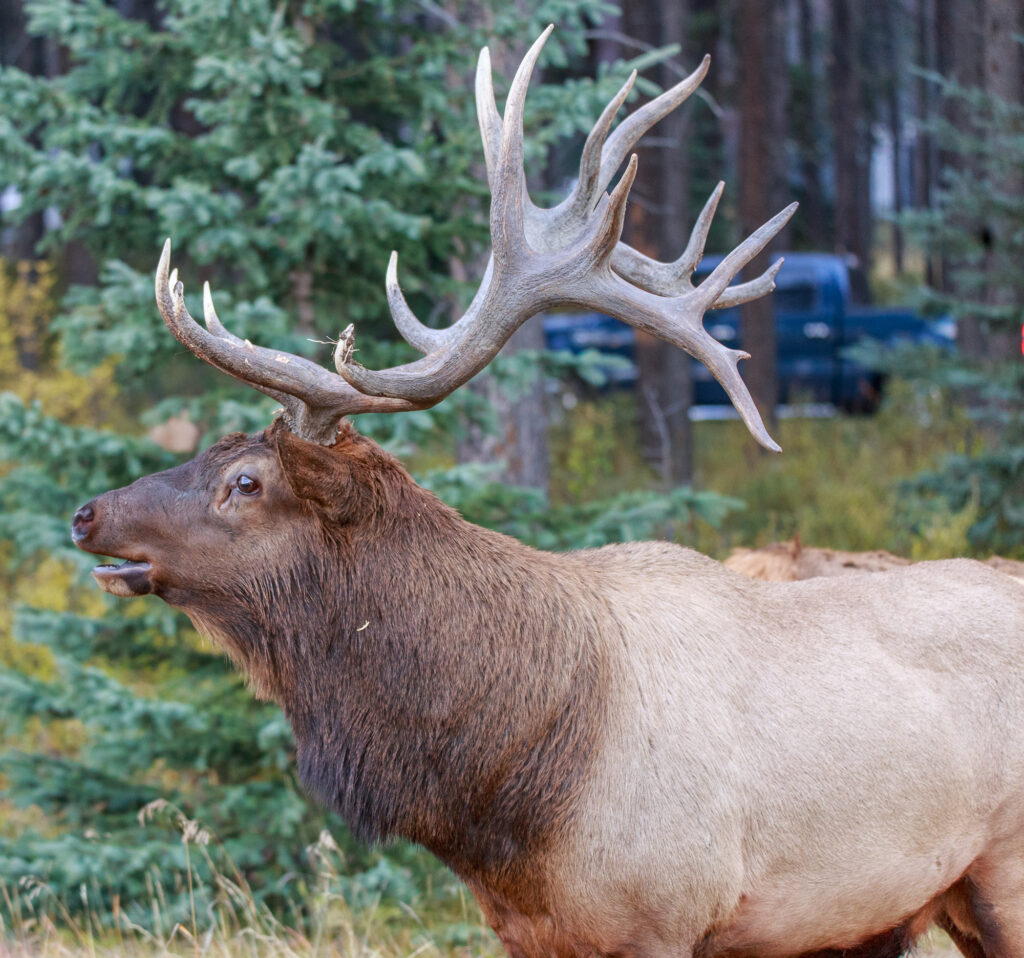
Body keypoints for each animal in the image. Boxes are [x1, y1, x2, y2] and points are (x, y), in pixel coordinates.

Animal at [70, 28, 1024, 958]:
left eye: (246, 481)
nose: (87, 513)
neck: (508, 797)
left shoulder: (663, 916)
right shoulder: (530, 932)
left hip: (1004, 875)